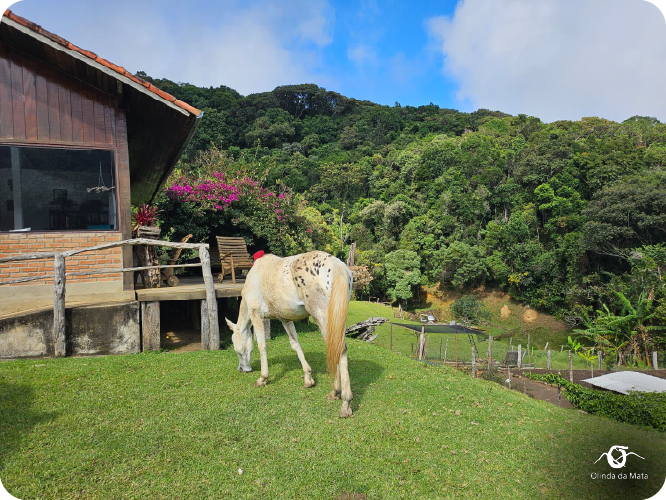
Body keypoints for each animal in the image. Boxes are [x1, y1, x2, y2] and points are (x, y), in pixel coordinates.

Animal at [224, 251, 354, 418]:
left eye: (237, 351)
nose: (242, 369)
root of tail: (337, 265)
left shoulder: (256, 315)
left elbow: (261, 345)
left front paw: (263, 378)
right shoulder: (285, 319)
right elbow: (295, 345)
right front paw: (308, 378)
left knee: (339, 349)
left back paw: (345, 402)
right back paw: (335, 392)